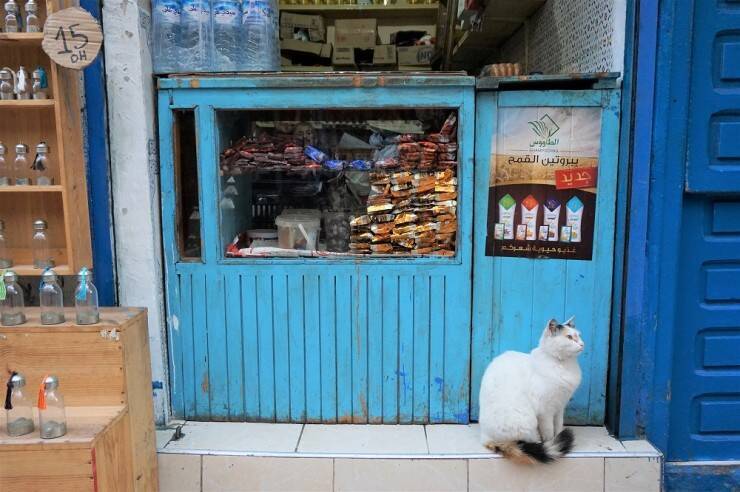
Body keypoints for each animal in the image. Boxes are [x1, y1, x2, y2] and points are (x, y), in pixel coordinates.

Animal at [480, 318, 584, 464]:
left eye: (578, 335)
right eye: (569, 337)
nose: (582, 344)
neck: (562, 364)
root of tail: (485, 437)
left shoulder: (560, 407)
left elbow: (559, 426)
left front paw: (559, 436)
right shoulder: (545, 411)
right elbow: (549, 432)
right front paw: (551, 441)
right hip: (528, 421)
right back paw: (539, 444)